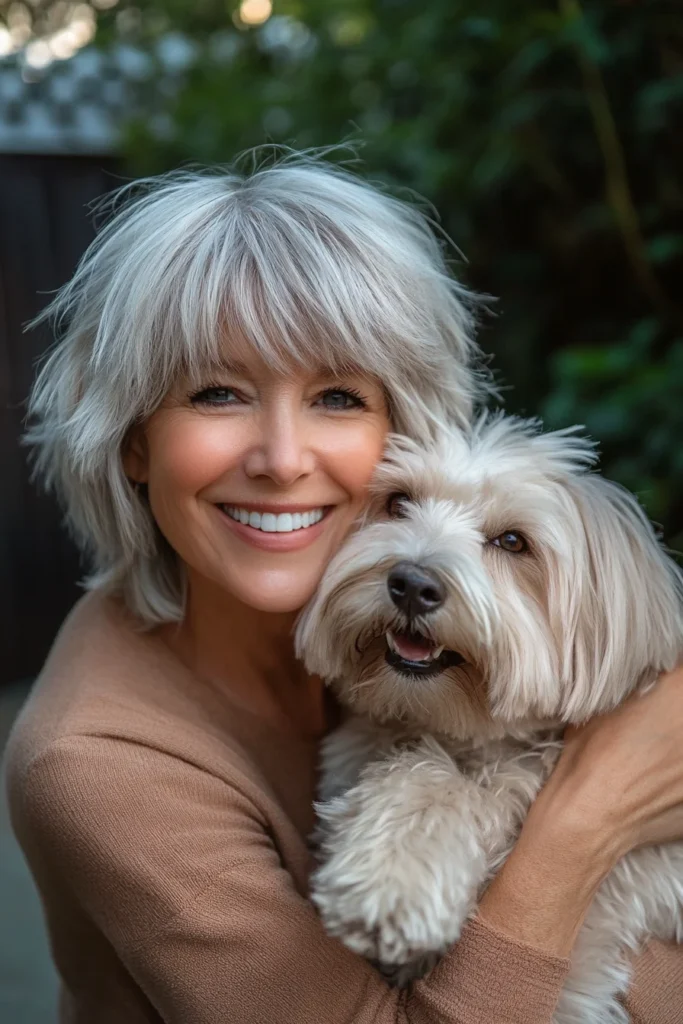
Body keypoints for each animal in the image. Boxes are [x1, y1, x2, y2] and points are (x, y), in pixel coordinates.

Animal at [296, 411, 683, 1019]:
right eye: (398, 502)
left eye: (513, 542)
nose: (412, 583)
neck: (465, 734)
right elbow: (426, 780)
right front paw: (393, 880)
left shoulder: (597, 930)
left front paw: (392, 889)